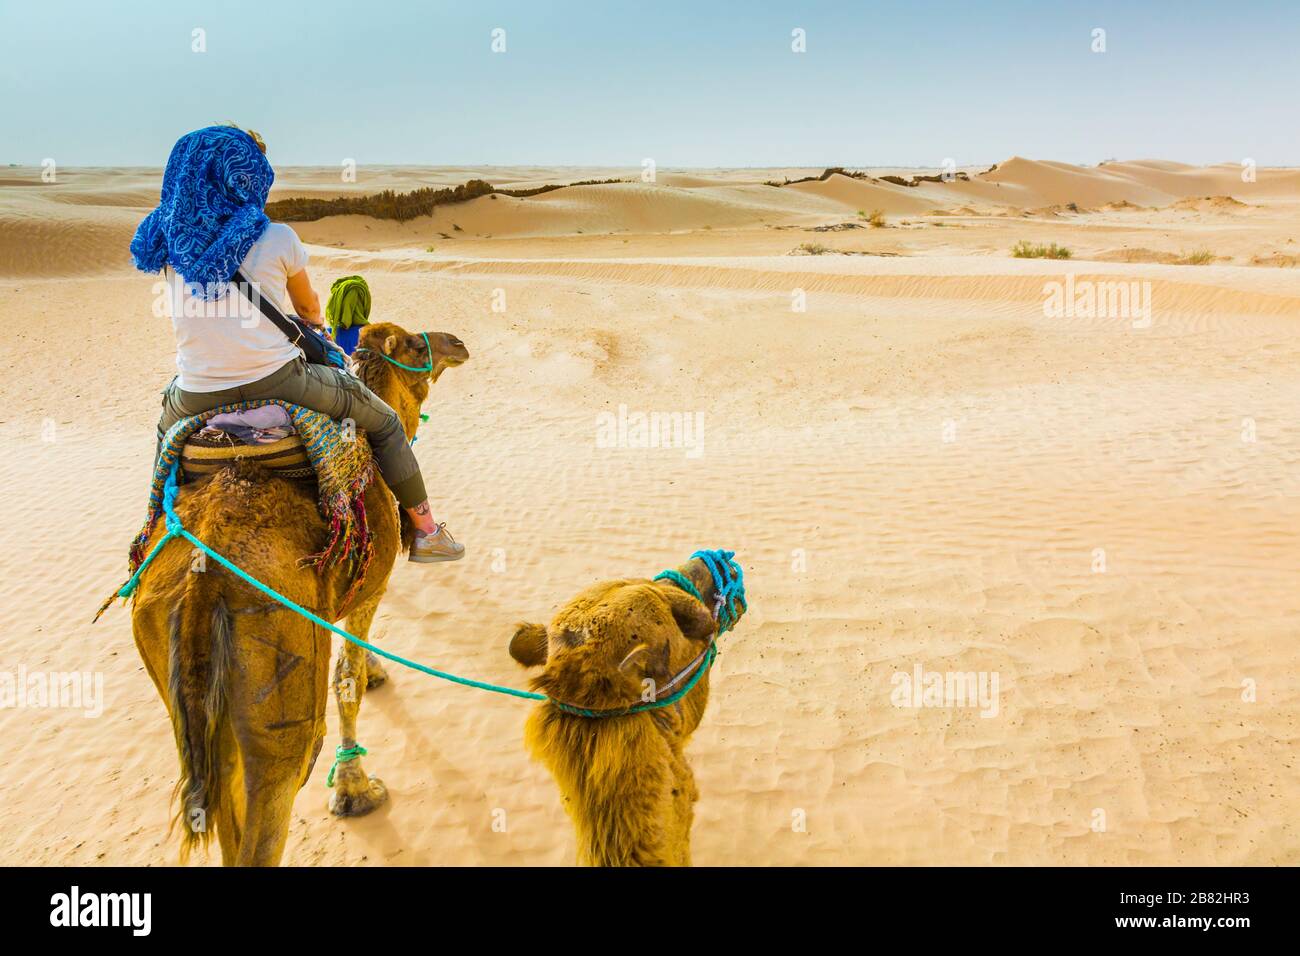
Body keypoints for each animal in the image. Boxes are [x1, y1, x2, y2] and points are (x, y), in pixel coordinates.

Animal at [126, 323, 470, 868]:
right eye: (418, 345)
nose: (457, 343)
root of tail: (204, 578)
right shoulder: (372, 583)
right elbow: (347, 678)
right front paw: (355, 791)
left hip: (172, 659)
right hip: (281, 669)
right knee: (275, 793)